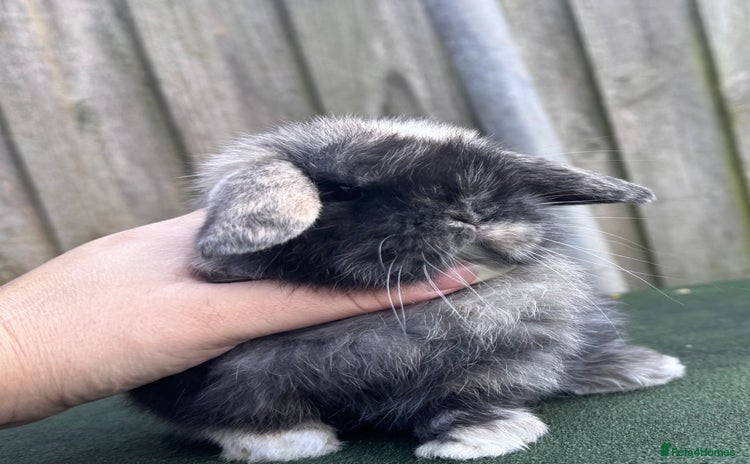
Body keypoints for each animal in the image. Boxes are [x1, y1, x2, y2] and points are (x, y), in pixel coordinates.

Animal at [130, 117, 685, 461]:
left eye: (496, 178)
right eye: (341, 190)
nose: (471, 210)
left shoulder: (499, 361)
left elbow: (465, 398)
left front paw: (479, 438)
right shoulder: (211, 380)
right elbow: (245, 414)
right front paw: (288, 444)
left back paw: (643, 367)